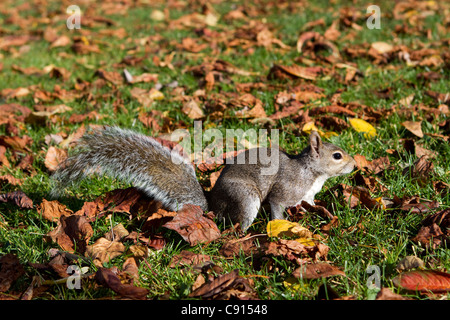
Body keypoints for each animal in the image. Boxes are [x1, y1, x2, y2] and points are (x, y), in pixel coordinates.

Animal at [51, 126, 356, 229]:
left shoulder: (307, 196)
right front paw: (283, 226)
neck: (312, 174)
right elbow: (278, 206)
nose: (354, 164)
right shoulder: (284, 190)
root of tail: (213, 208)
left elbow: (311, 204)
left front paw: (324, 212)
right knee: (237, 225)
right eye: (337, 155)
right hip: (245, 198)